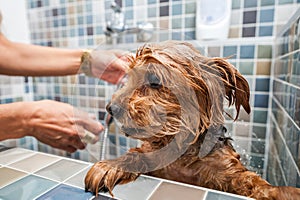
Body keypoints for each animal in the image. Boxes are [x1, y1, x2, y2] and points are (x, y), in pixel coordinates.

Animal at [84, 41, 300, 200]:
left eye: (154, 80)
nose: (111, 108)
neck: (182, 155)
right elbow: (138, 154)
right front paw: (110, 165)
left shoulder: (226, 172)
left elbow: (251, 182)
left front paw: (283, 192)